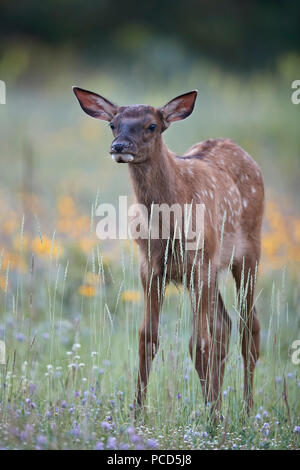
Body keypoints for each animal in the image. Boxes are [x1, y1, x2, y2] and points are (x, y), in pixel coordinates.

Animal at [74, 87, 264, 414]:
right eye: (113, 124)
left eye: (151, 125)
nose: (119, 146)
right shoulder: (150, 268)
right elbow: (147, 339)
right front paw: (137, 412)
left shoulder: (200, 263)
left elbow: (198, 343)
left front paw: (214, 417)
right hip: (210, 271)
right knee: (225, 326)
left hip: (247, 251)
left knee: (248, 327)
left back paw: (247, 408)